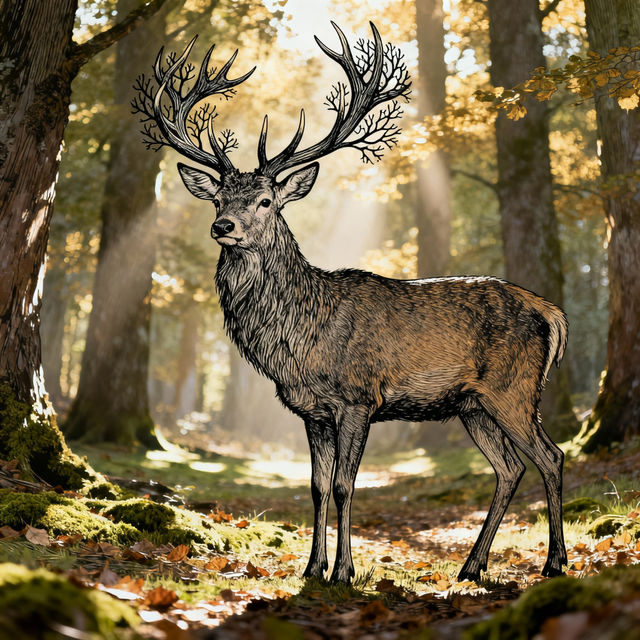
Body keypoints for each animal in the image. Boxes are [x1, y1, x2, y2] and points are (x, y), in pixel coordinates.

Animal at [133, 23, 568, 583]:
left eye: (266, 201)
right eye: (218, 199)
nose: (222, 226)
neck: (300, 338)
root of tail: (549, 311)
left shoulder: (359, 398)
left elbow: (344, 484)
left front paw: (344, 571)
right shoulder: (311, 410)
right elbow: (317, 486)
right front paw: (311, 567)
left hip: (513, 388)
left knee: (550, 457)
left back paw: (554, 562)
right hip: (472, 405)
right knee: (510, 467)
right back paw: (471, 567)